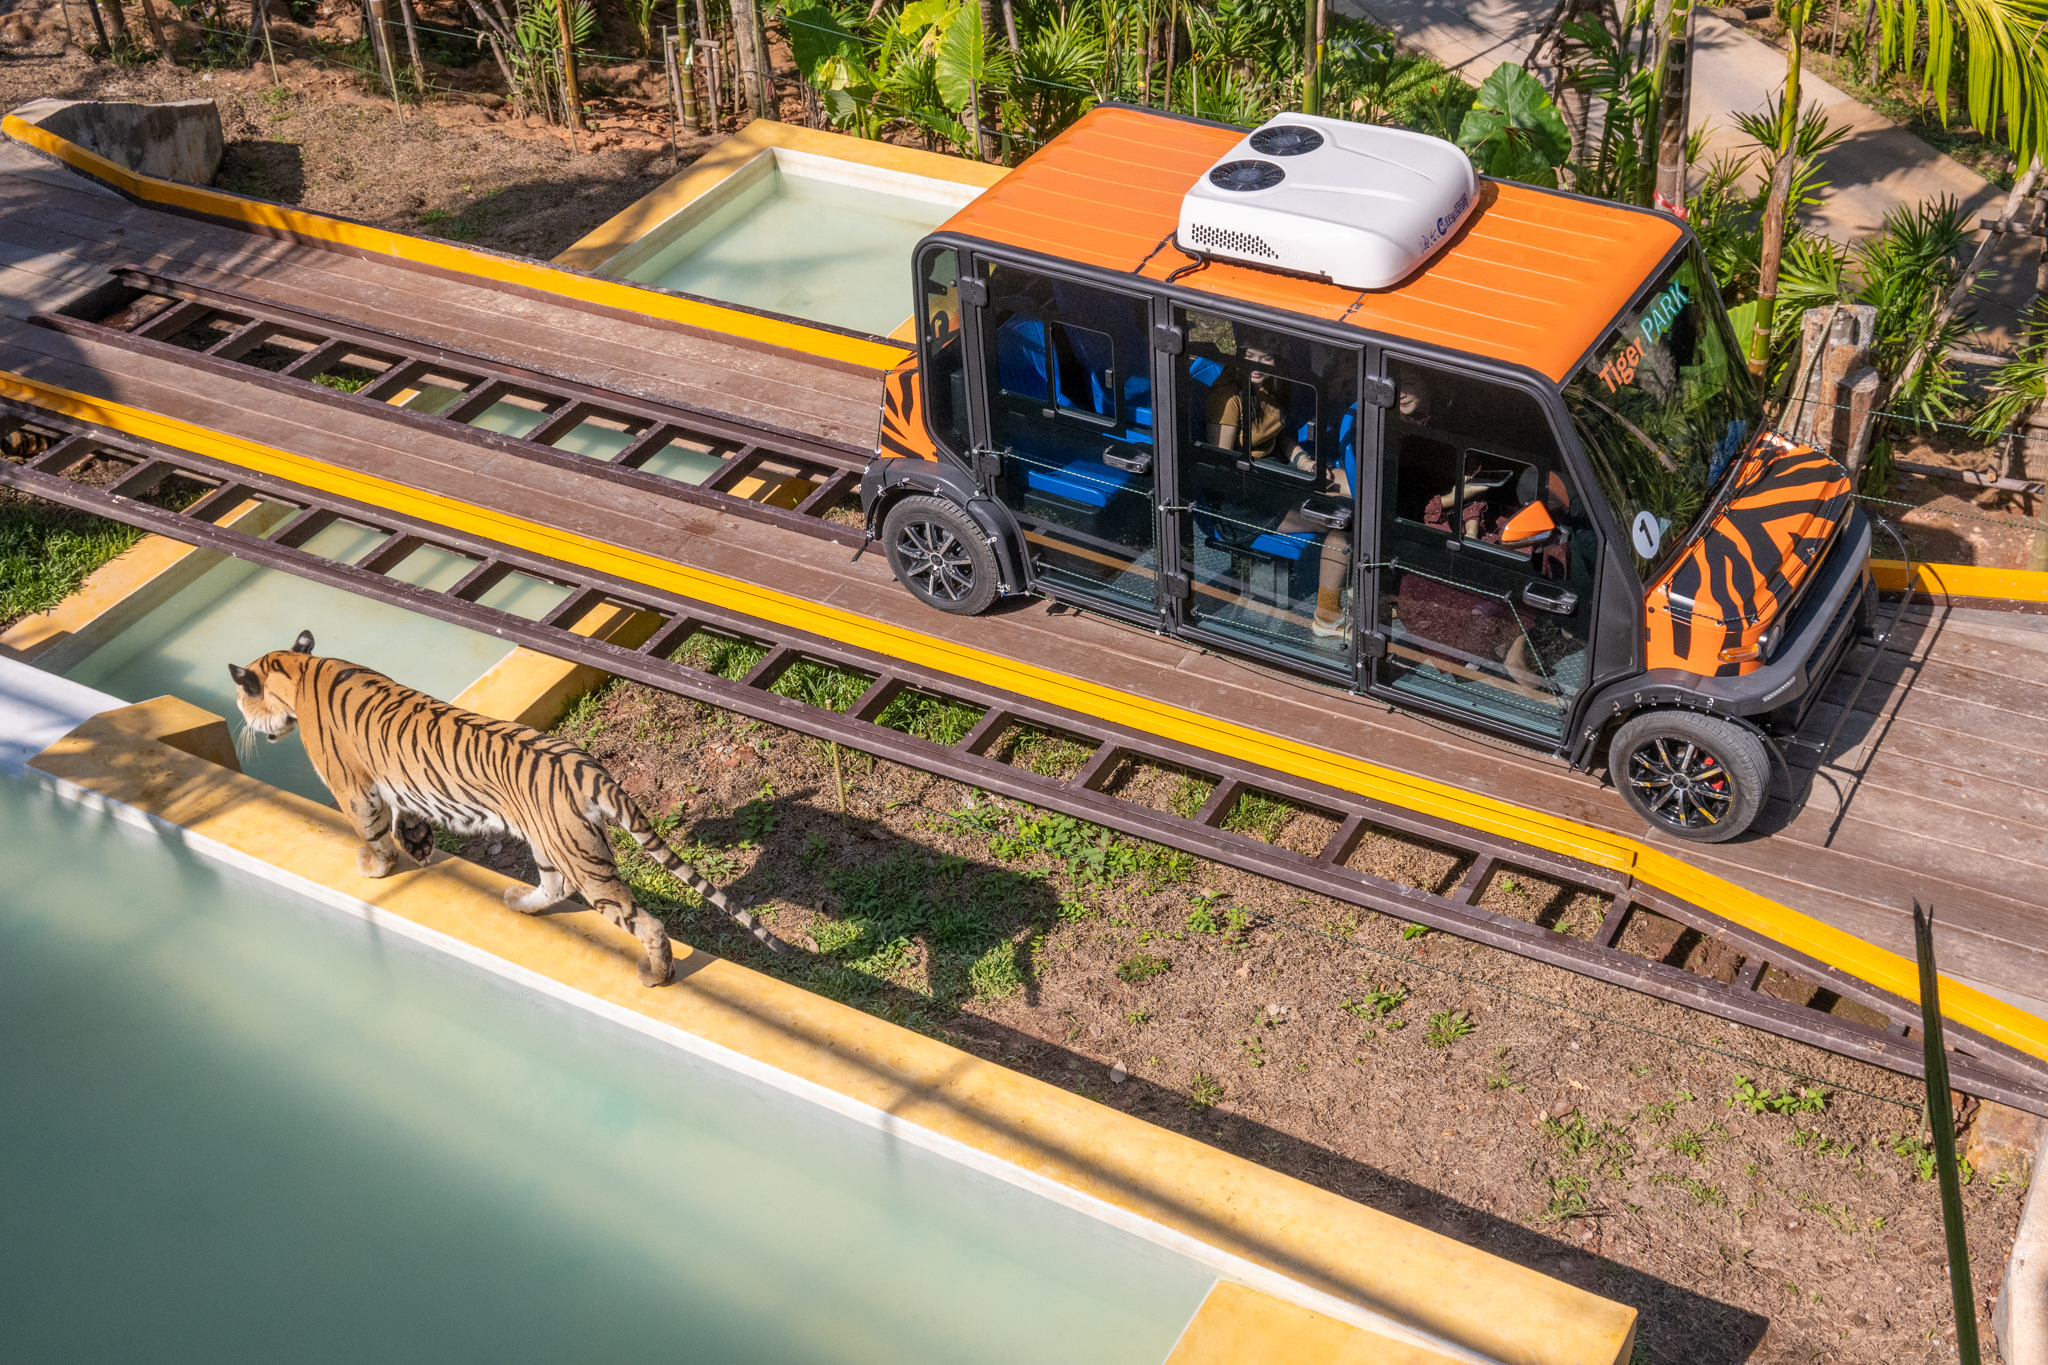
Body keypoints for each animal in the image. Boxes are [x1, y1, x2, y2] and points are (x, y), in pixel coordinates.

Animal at [227, 630, 784, 986]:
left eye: (241, 701)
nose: (249, 727)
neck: (300, 669)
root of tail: (589, 766)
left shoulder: (355, 789)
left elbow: (372, 834)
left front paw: (375, 866)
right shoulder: (399, 787)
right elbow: (408, 818)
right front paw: (419, 848)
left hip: (581, 860)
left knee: (640, 921)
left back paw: (657, 976)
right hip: (553, 844)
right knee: (554, 887)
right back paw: (520, 903)